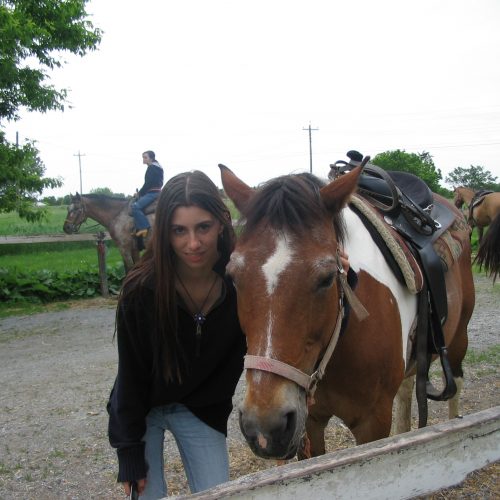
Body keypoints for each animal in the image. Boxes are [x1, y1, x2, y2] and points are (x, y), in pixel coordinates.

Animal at [221, 165, 474, 460]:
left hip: (458, 340)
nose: (264, 427)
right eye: (233, 276)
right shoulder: (310, 422)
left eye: (327, 278)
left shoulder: (373, 423)